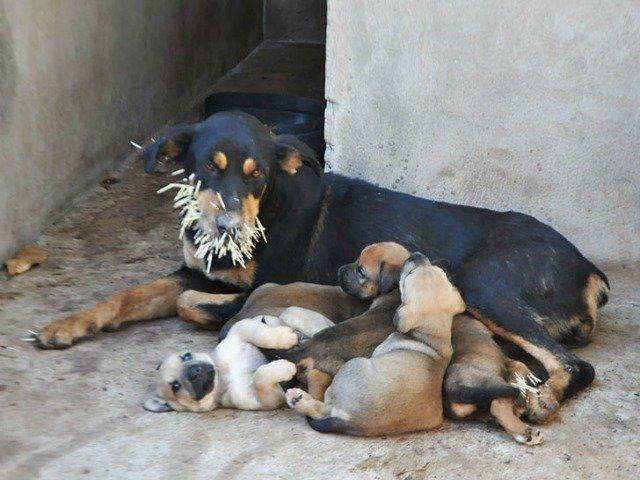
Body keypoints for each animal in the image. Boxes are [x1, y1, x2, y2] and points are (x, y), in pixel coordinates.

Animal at [33, 110, 608, 414]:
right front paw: (67, 325)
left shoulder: (261, 283)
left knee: (577, 365)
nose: (230, 229)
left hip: (482, 283)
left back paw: (539, 400)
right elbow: (132, 294)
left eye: (258, 174)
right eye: (207, 169)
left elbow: (189, 303)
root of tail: (589, 270)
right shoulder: (193, 269)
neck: (269, 206)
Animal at [286, 253, 464, 436]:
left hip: (352, 364)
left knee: (323, 406)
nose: (416, 255)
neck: (433, 334)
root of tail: (352, 422)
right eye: (437, 269)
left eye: (409, 275)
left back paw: (297, 398)